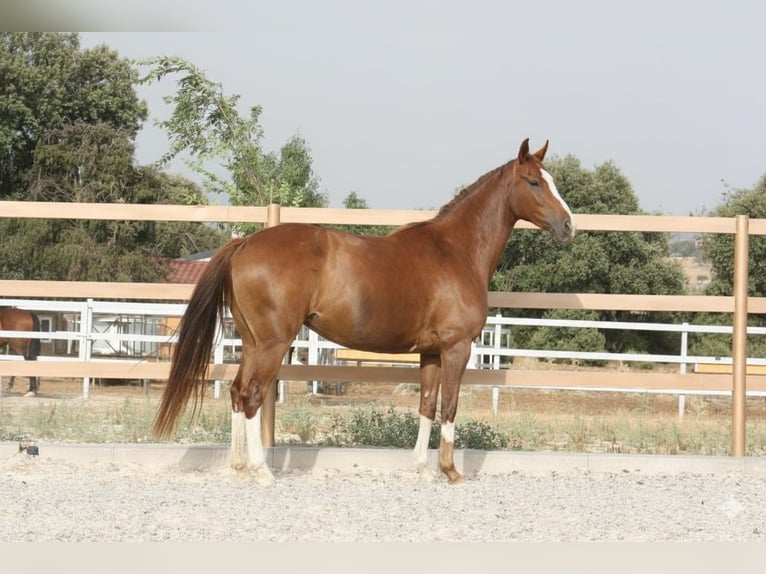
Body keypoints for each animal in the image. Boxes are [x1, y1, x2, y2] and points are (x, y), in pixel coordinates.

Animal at [153, 138, 576, 485]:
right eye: (534, 182)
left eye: (551, 180)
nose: (569, 225)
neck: (455, 250)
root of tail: (245, 243)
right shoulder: (456, 348)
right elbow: (450, 406)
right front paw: (450, 471)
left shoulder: (430, 353)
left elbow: (426, 404)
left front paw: (421, 469)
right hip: (273, 343)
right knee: (253, 394)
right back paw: (262, 472)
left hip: (253, 342)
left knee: (238, 393)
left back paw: (239, 467)